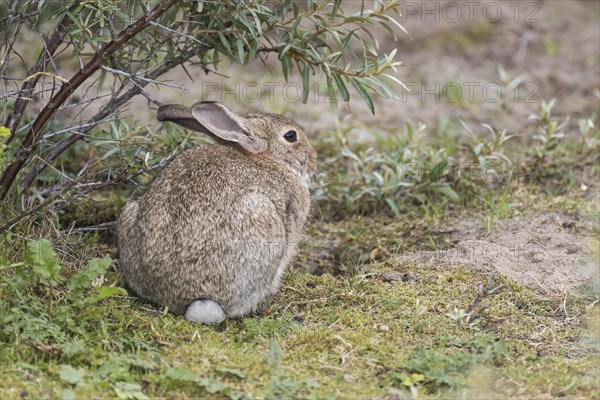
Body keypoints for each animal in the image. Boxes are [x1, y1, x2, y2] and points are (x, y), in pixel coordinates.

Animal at [115, 101, 316, 324]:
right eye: (291, 136)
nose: (314, 158)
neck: (269, 158)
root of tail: (179, 299)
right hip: (261, 222)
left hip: (130, 211)